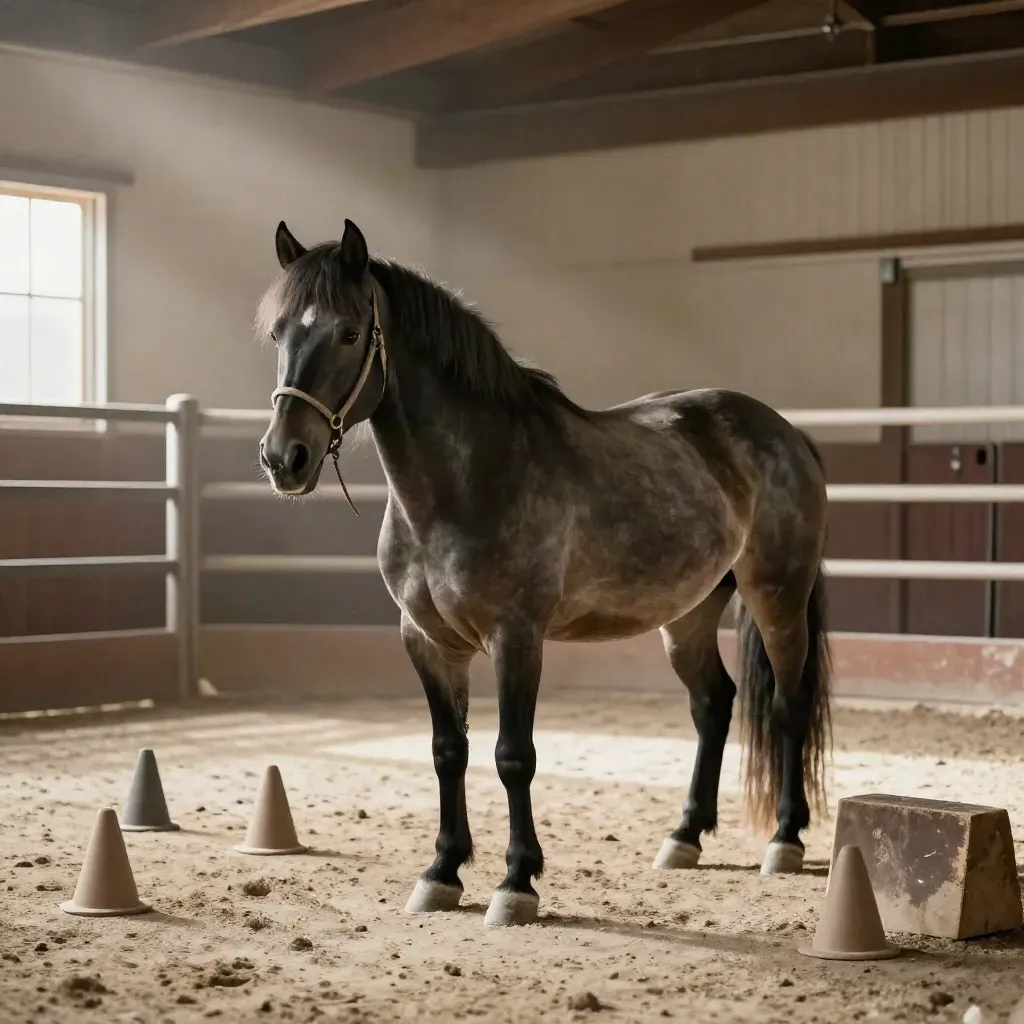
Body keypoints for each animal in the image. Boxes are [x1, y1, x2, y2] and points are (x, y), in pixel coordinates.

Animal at [257, 218, 833, 928]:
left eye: (348, 332)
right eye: (279, 333)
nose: (285, 457)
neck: (468, 480)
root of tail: (786, 431)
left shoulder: (517, 636)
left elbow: (513, 756)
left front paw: (516, 882)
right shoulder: (426, 640)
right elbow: (448, 752)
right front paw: (442, 872)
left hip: (777, 596)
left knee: (787, 705)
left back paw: (784, 839)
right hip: (690, 613)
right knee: (713, 704)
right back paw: (684, 837)